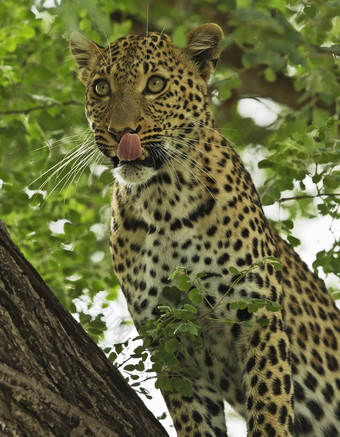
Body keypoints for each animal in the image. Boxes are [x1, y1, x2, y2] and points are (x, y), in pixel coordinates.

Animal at [69, 23, 340, 436]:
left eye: (156, 84)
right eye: (101, 87)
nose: (121, 132)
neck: (163, 202)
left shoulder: (258, 314)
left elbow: (270, 403)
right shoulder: (171, 340)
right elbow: (194, 418)